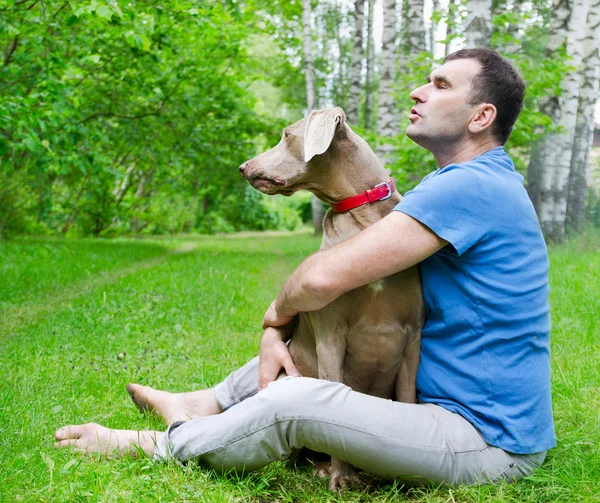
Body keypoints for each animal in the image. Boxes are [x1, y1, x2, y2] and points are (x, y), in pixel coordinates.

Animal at [237, 108, 424, 490]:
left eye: (285, 135)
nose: (243, 167)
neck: (364, 220)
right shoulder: (330, 337)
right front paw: (342, 476)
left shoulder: (413, 337)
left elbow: (408, 398)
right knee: (300, 454)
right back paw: (324, 467)